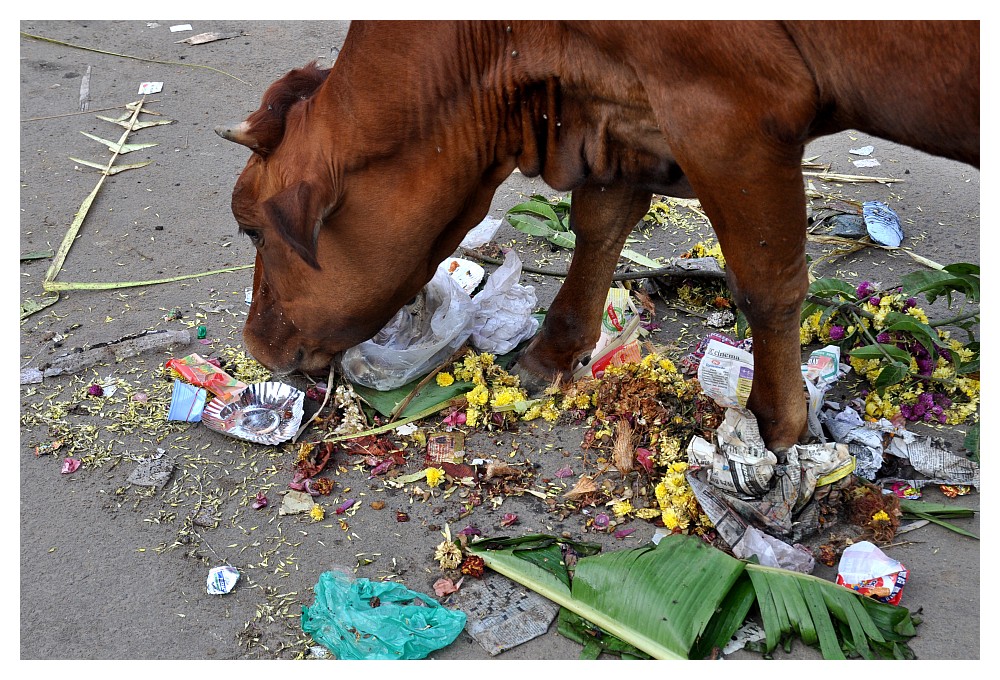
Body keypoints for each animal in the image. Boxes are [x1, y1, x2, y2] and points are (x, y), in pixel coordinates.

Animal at [217, 21, 976, 454]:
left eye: (251, 228)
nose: (255, 344)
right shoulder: (624, 109)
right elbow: (599, 224)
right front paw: (554, 352)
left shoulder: (731, 113)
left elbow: (768, 282)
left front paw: (772, 424)